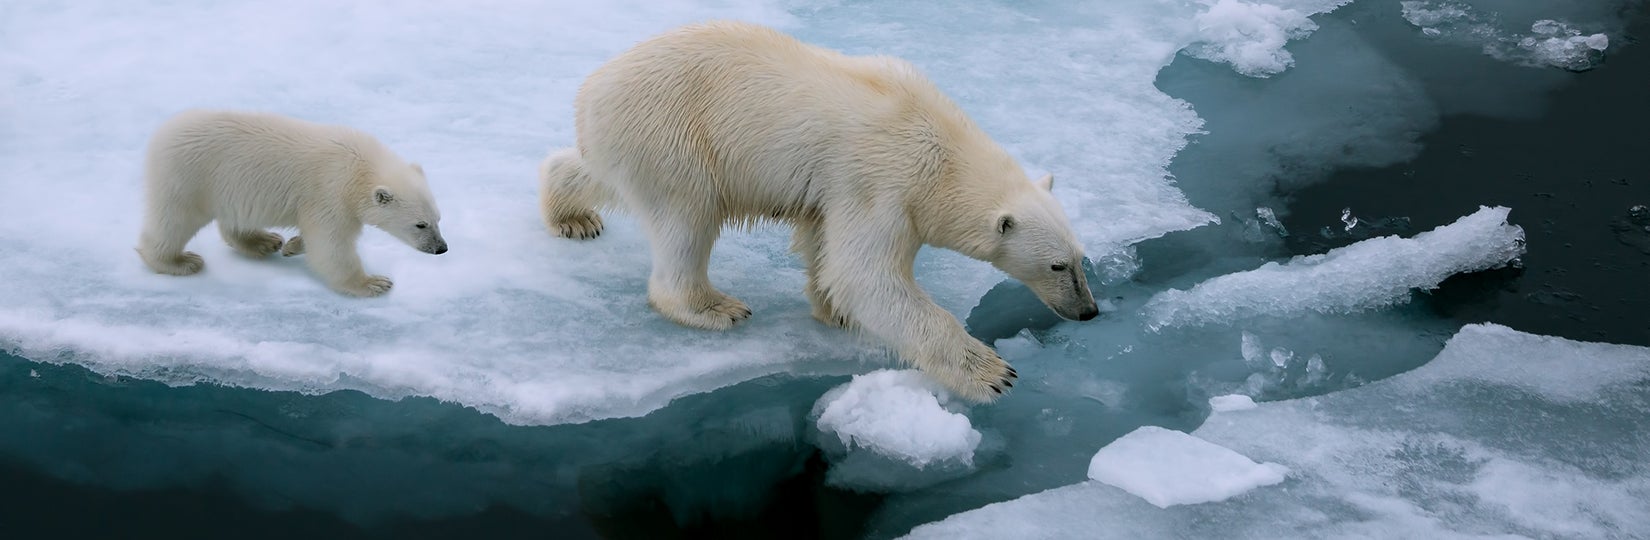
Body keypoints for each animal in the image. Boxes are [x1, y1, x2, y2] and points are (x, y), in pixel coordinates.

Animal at [137, 109, 447, 297]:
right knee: (174, 221)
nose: (441, 249)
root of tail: (161, 134)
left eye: (438, 218)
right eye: (420, 225)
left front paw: (294, 245)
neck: (360, 167)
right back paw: (179, 261)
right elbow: (330, 245)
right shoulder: (330, 192)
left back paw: (264, 241)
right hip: (188, 179)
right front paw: (373, 283)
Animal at [538, 21, 1099, 402]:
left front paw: (834, 310)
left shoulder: (841, 188)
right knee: (687, 218)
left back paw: (571, 214)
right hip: (674, 136)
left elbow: (825, 244)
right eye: (1057, 265)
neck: (942, 148)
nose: (1089, 311)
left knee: (597, 172)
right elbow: (865, 274)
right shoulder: (884, 181)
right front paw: (992, 372)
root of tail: (592, 91)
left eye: (1081, 258)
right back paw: (713, 306)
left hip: (628, 141)